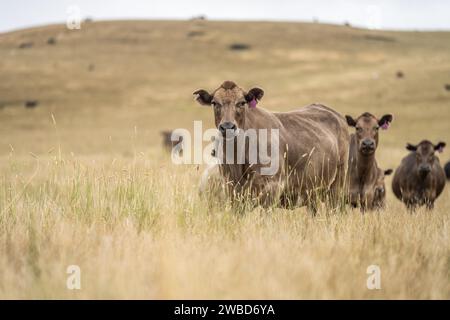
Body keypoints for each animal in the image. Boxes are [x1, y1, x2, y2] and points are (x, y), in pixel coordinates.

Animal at [192, 80, 350, 211]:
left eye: (242, 102)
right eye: (214, 103)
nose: (227, 127)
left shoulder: (272, 187)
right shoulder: (232, 190)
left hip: (336, 186)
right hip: (312, 192)